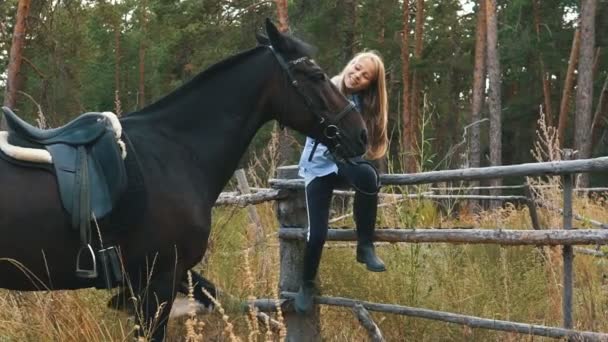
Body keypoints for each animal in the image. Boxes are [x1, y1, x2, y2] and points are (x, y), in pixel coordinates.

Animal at [0, 20, 366, 340]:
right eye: (316, 75)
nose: (360, 133)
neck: (175, 150)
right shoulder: (160, 280)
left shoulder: (156, 279)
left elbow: (212, 295)